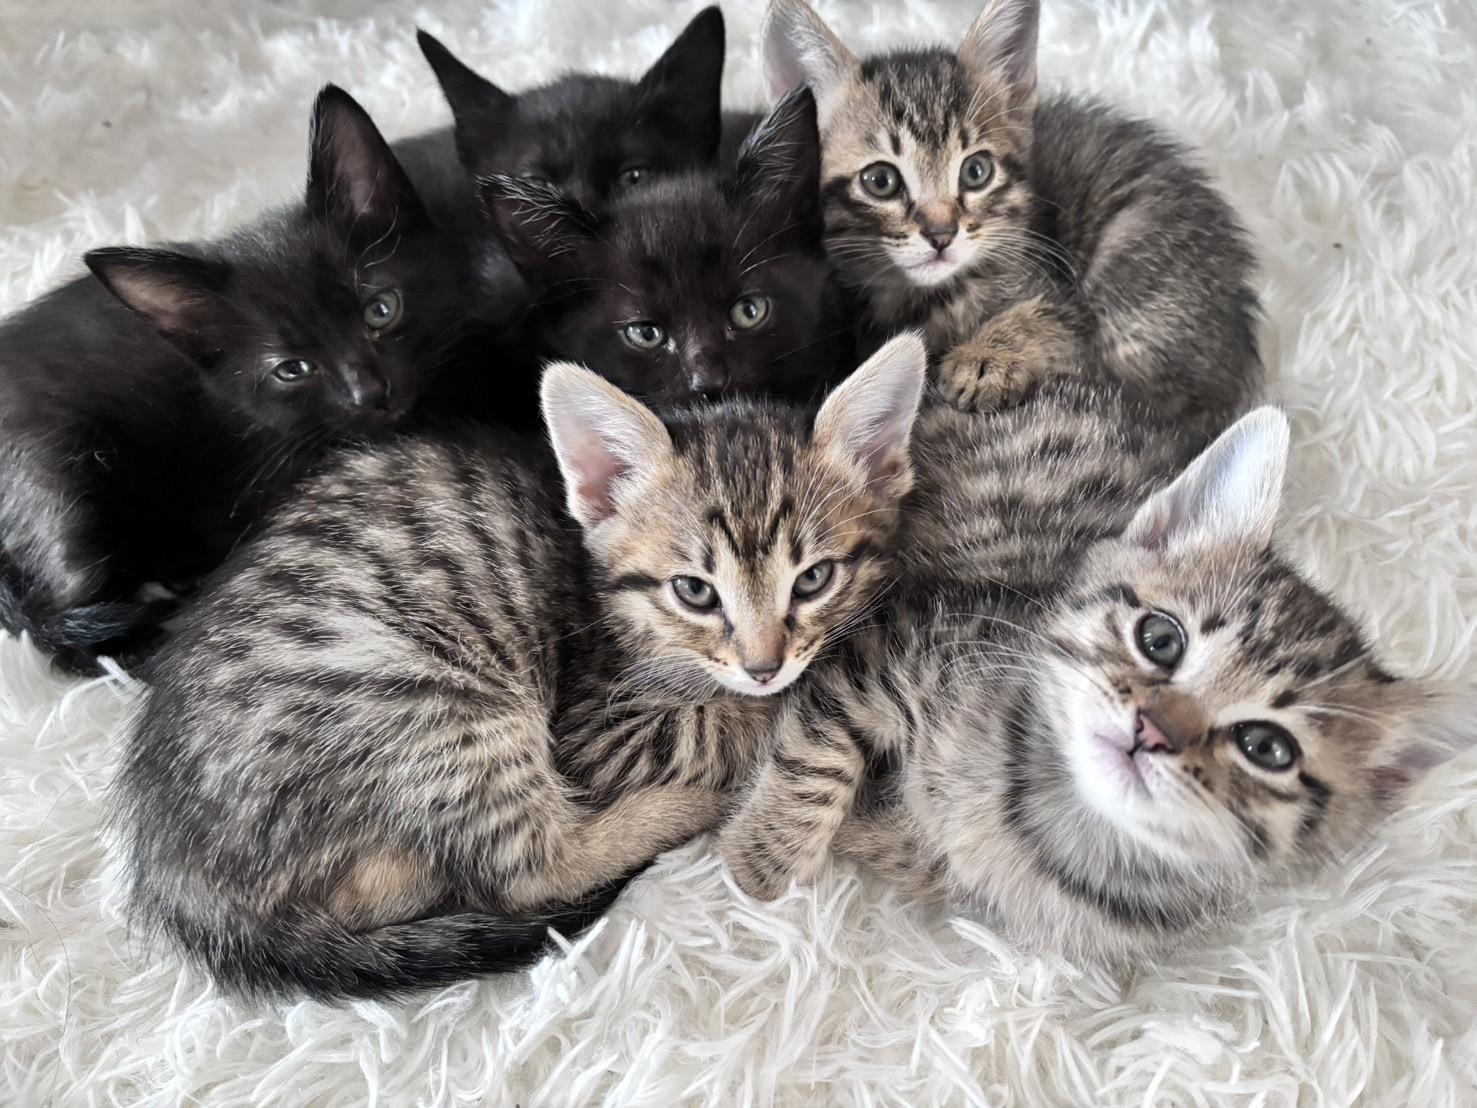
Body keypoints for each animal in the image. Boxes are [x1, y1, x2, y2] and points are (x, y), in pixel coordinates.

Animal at [109, 334, 927, 1000]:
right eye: (694, 591)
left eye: (813, 579)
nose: (763, 666)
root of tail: (182, 877)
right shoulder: (597, 731)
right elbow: (726, 723)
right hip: (430, 705)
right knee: (530, 873)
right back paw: (682, 812)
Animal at [719, 380, 1477, 964]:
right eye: (1160, 639)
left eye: (1267, 748)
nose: (1153, 729)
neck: (1053, 815)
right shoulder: (899, 637)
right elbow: (823, 738)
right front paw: (766, 855)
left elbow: (925, 859)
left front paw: (863, 839)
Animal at [762, 0, 1262, 444]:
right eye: (880, 180)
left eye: (976, 171)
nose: (941, 234)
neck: (928, 299)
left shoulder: (1058, 292)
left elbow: (1059, 319)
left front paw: (985, 358)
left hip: (1136, 259)